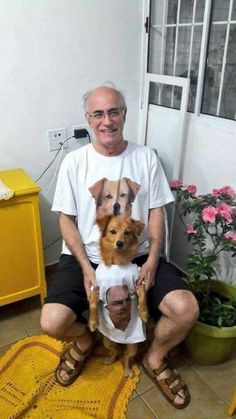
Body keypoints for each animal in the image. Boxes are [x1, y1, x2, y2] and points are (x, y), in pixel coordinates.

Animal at [88, 217, 148, 378]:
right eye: (113, 231)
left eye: (127, 232)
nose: (119, 243)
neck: (117, 263)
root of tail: (122, 343)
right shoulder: (96, 288)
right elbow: (93, 304)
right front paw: (93, 322)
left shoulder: (139, 282)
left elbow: (143, 296)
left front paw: (144, 313)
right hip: (107, 342)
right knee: (115, 351)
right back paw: (109, 360)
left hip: (133, 347)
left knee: (126, 357)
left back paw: (127, 370)